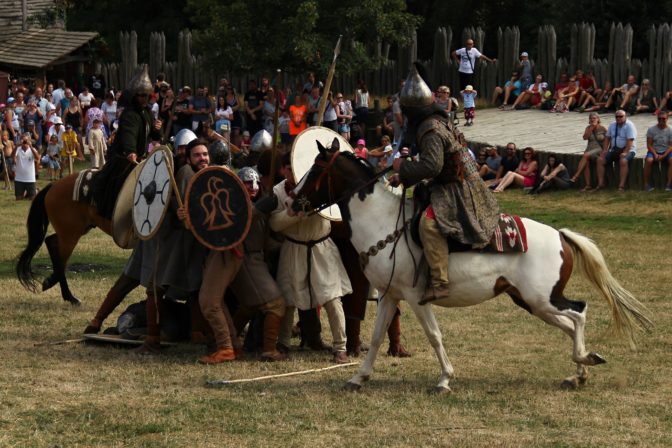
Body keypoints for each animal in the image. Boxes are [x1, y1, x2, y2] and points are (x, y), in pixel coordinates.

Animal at [15, 173, 111, 306]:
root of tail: (54, 184)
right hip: (71, 234)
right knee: (59, 257)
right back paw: (68, 296)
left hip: (71, 232)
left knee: (51, 241)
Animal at [290, 142, 652, 394]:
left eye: (316, 168)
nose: (293, 199)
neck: (383, 222)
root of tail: (559, 236)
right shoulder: (390, 295)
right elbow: (378, 336)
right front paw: (358, 377)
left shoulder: (415, 297)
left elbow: (434, 336)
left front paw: (444, 380)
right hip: (532, 302)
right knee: (568, 322)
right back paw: (580, 372)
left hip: (542, 298)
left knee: (578, 313)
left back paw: (584, 360)